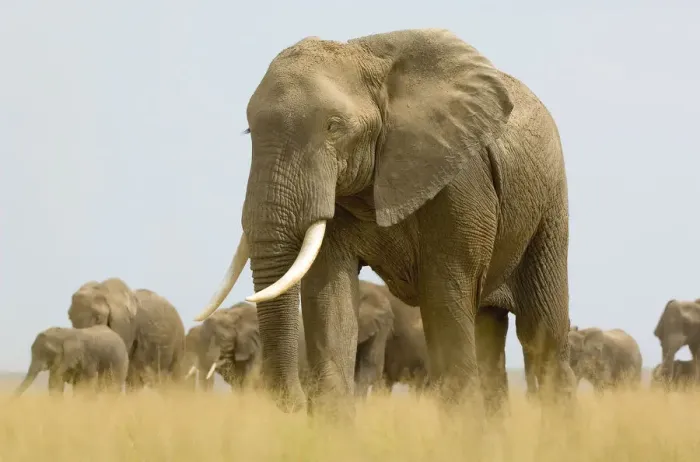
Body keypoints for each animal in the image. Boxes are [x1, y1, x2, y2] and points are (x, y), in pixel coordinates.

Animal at [194, 28, 575, 416]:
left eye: (333, 127)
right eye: (249, 131)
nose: (297, 403)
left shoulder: (460, 179)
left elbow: (445, 294)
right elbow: (330, 299)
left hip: (549, 208)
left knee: (541, 333)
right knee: (488, 333)